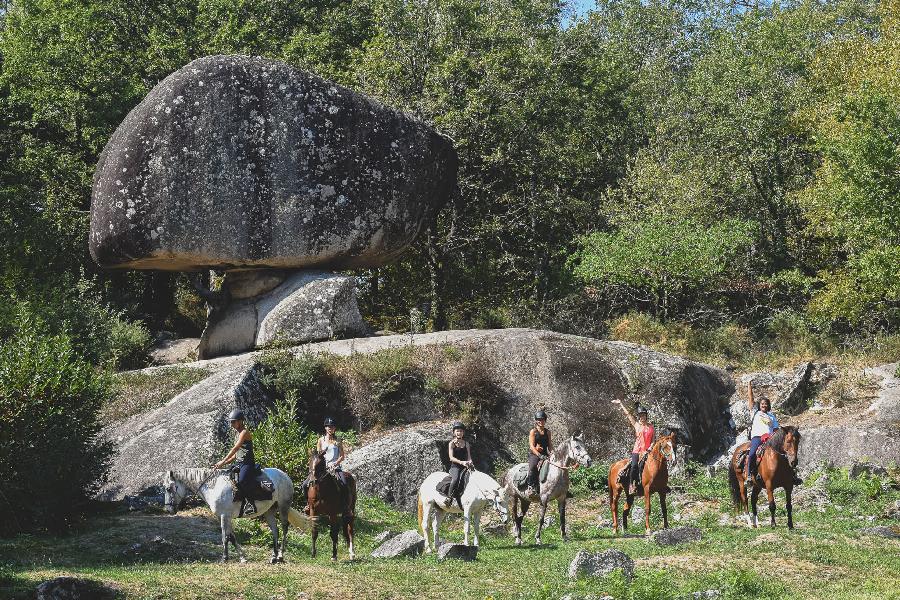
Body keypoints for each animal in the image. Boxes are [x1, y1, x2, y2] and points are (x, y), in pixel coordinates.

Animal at [163, 468, 312, 564]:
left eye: (168, 489)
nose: (168, 509)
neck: (214, 487)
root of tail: (284, 475)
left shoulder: (224, 516)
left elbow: (225, 537)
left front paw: (224, 558)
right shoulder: (225, 517)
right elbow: (232, 537)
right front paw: (242, 558)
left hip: (283, 507)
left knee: (285, 528)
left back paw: (280, 556)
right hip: (269, 511)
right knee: (275, 531)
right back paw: (273, 557)